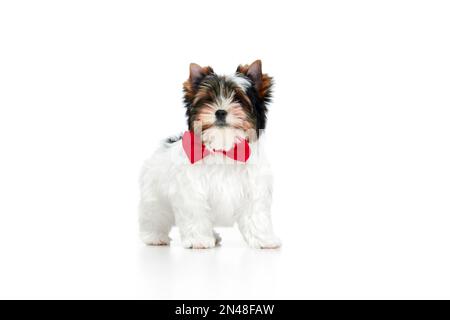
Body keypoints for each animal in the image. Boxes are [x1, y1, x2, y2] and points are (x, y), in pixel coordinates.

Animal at [140, 60, 282, 250]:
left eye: (238, 99)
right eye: (208, 100)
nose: (220, 111)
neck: (223, 149)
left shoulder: (254, 188)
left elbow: (256, 215)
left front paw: (263, 239)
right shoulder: (192, 191)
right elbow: (196, 213)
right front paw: (198, 240)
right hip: (154, 193)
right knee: (154, 214)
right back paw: (155, 236)